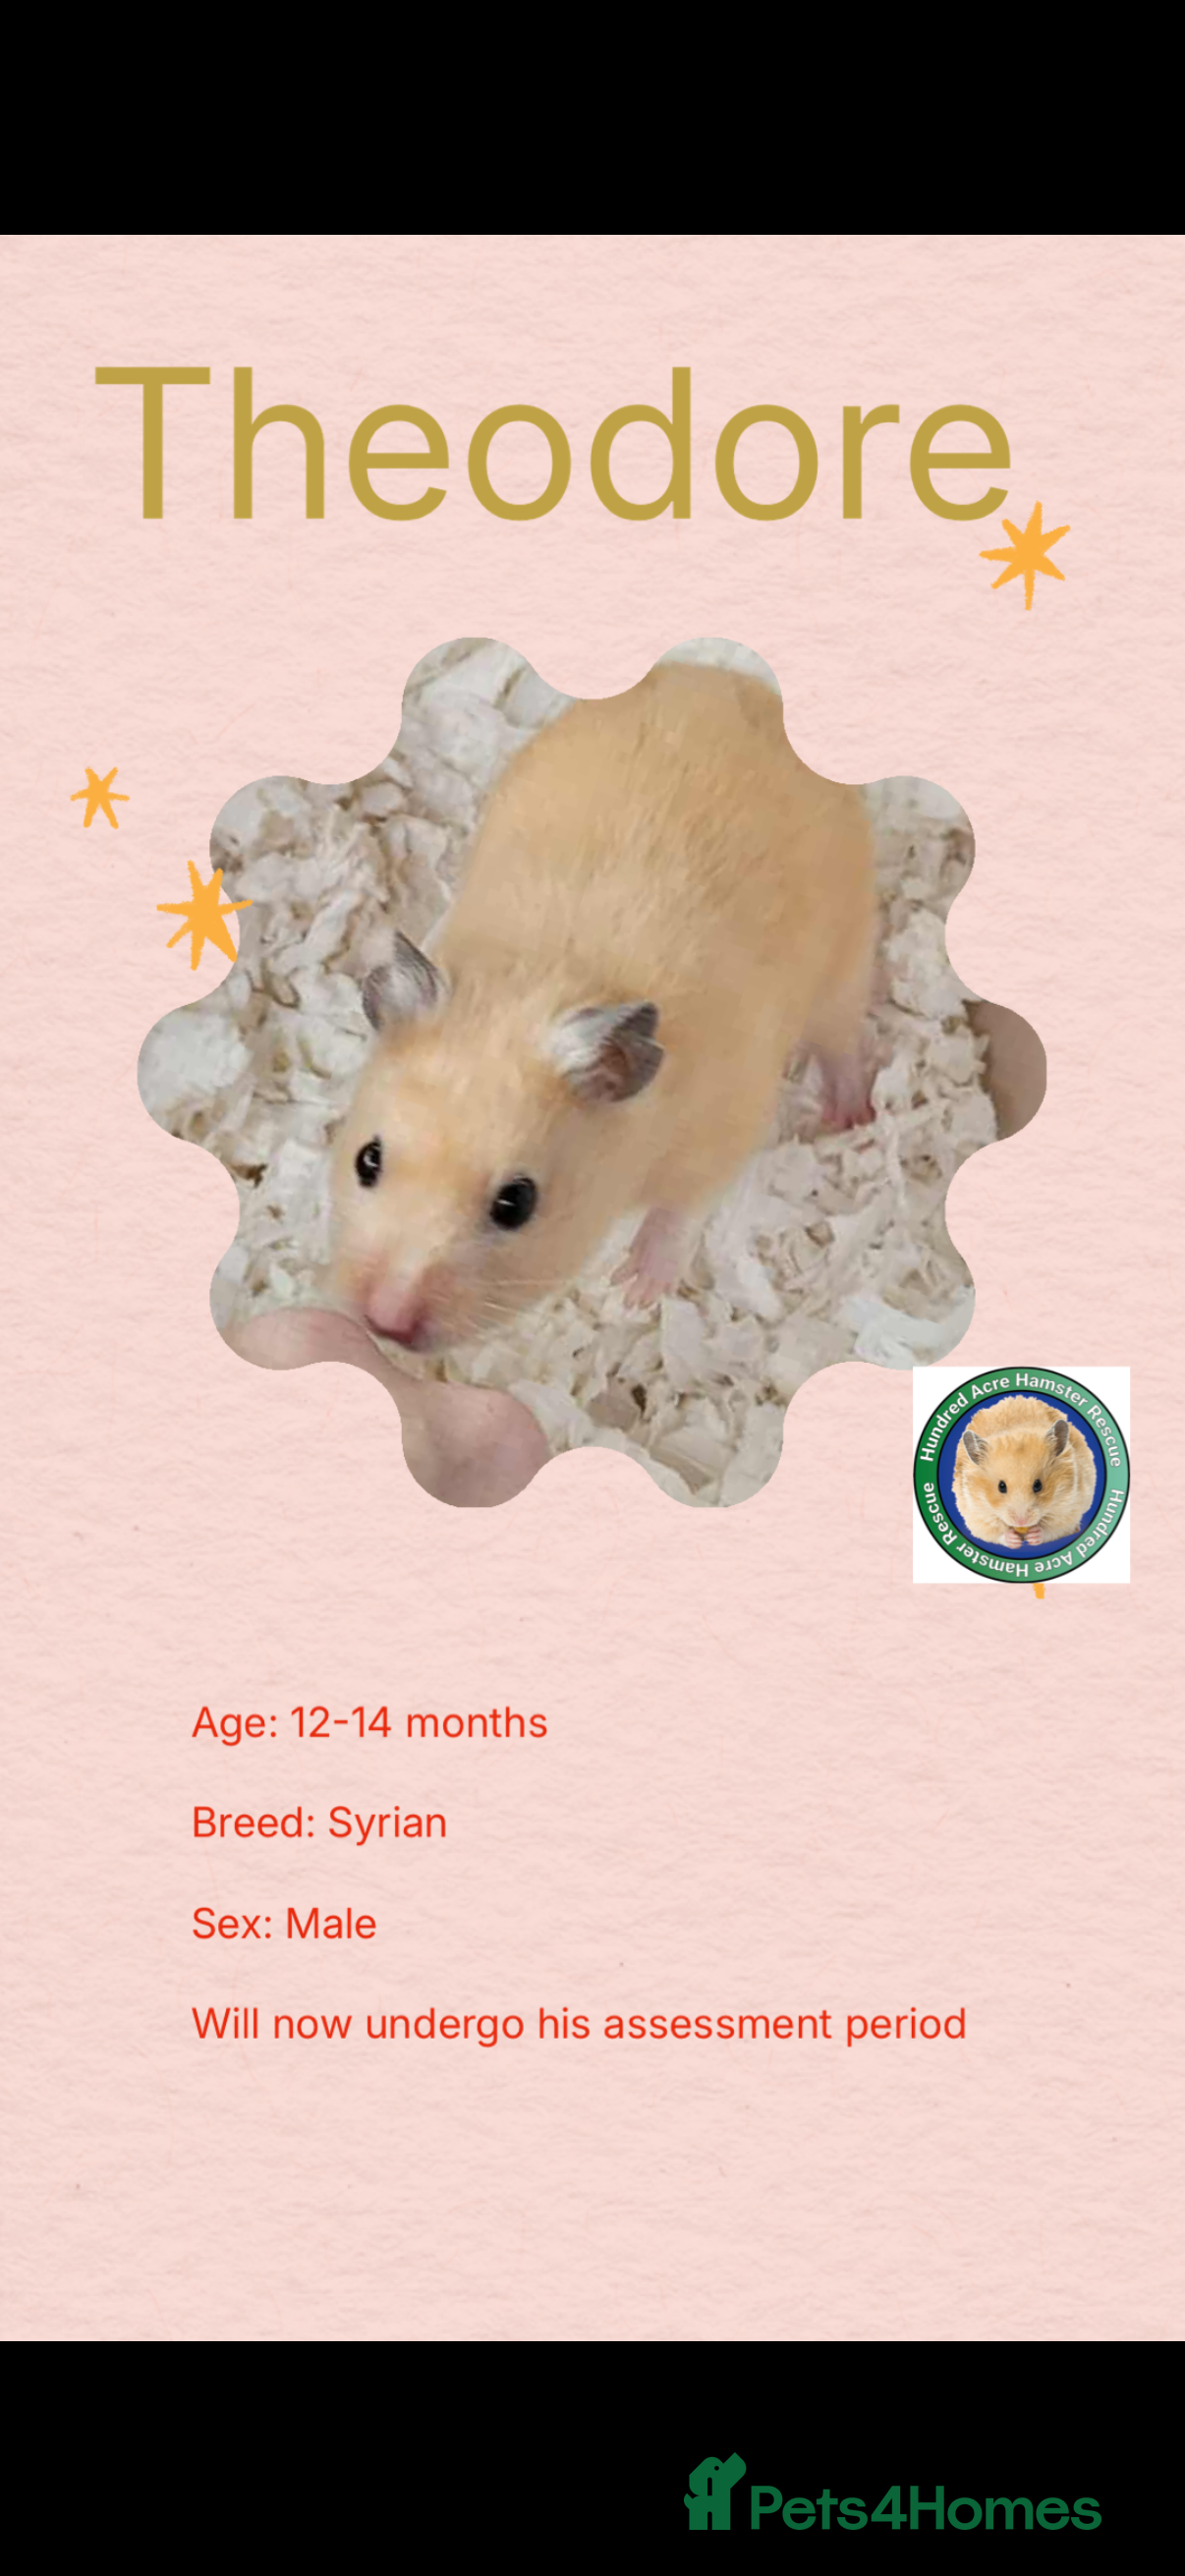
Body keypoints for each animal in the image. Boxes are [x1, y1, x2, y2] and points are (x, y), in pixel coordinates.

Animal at [331, 661, 876, 1353]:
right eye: (366, 1160)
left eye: (516, 1203)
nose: (385, 1322)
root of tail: (732, 678)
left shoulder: (723, 1129)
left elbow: (681, 1211)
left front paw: (635, 1291)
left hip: (847, 955)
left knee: (844, 1039)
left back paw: (850, 1115)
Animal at [953, 1396, 1096, 1550]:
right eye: (1001, 1486)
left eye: (1038, 1485)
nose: (1021, 1522)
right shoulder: (976, 1514)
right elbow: (994, 1532)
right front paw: (1014, 1540)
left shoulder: (1069, 1507)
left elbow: (1053, 1529)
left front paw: (1034, 1535)